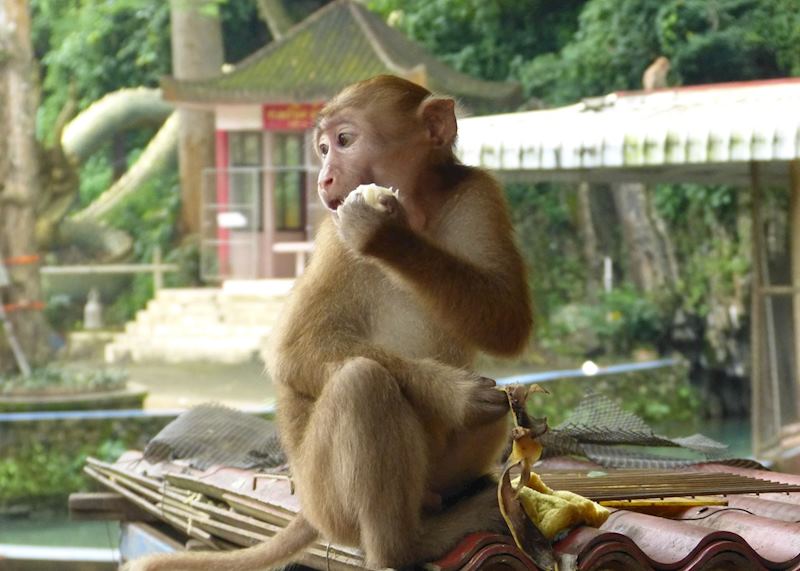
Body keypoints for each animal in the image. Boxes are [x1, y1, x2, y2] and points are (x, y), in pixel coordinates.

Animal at [124, 75, 533, 571]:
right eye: (323, 148)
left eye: (344, 141)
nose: (325, 176)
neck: (418, 212)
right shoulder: (335, 239)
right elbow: (295, 353)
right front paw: (454, 392)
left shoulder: (479, 193)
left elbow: (508, 319)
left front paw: (384, 232)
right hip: (327, 499)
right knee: (362, 383)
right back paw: (402, 547)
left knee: (495, 405)